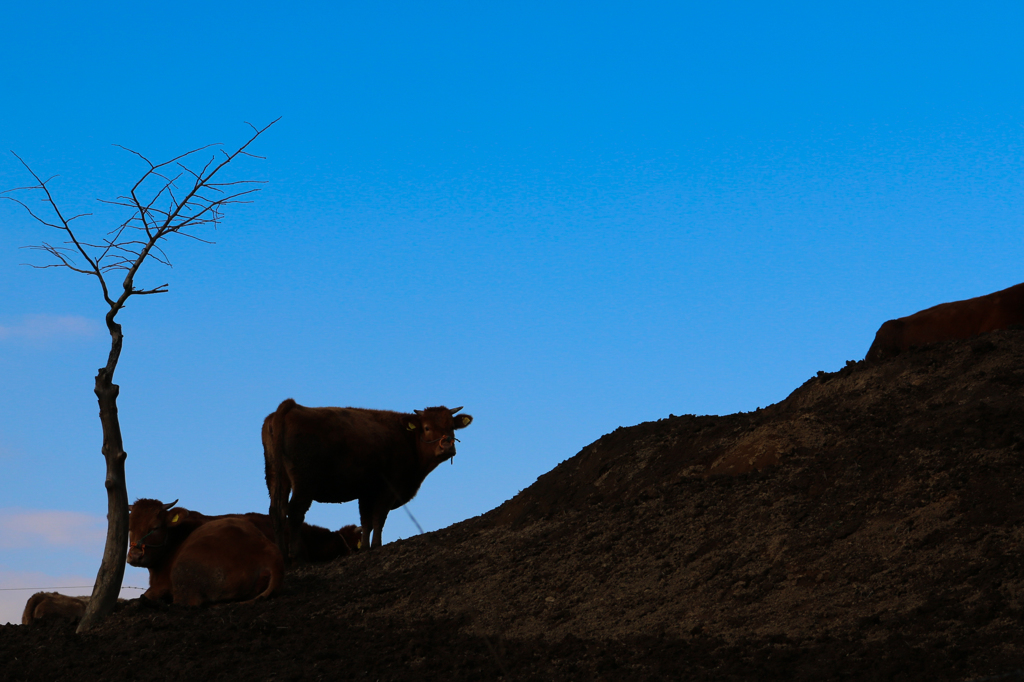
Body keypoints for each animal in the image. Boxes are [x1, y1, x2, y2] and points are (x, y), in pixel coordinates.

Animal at [262, 399, 473, 557]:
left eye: (451, 427)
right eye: (427, 427)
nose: (447, 446)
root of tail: (291, 406)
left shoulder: (366, 491)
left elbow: (366, 521)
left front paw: (364, 547)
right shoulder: (388, 488)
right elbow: (378, 517)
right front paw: (376, 545)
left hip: (275, 475)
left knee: (277, 511)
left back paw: (282, 555)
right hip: (304, 481)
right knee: (295, 512)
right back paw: (295, 555)